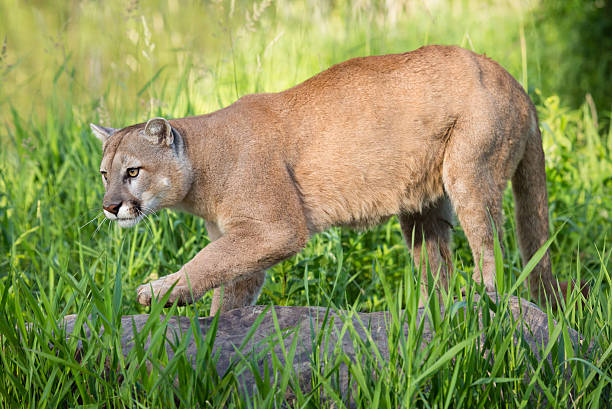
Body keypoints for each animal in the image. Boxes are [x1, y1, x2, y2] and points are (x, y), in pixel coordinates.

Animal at [89, 44, 572, 314]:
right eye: (104, 174)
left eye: (133, 171)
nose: (110, 206)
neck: (202, 167)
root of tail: (513, 79)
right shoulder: (244, 237)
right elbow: (231, 280)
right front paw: (212, 324)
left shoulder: (275, 227)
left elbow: (207, 262)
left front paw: (157, 292)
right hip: (420, 206)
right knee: (438, 267)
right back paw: (427, 317)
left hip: (471, 174)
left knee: (492, 250)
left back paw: (482, 299)